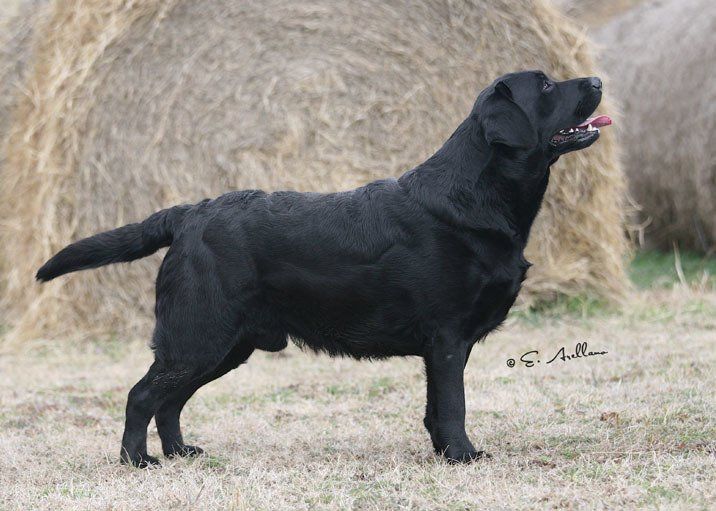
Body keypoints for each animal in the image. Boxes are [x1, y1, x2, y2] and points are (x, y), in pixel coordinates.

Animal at [37, 70, 608, 466]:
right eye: (547, 85)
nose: (599, 80)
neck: (474, 196)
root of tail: (188, 214)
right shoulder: (446, 338)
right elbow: (454, 405)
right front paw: (463, 456)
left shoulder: (443, 346)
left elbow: (434, 409)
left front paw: (444, 452)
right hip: (198, 334)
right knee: (143, 396)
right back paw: (137, 461)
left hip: (225, 344)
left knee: (170, 402)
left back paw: (181, 452)